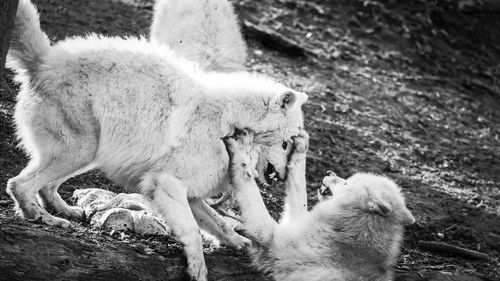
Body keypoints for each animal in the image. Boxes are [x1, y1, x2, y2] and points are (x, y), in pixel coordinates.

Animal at [5, 1, 306, 278]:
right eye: (286, 142)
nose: (283, 176)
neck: (228, 123)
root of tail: (44, 60)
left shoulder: (190, 193)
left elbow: (218, 222)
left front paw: (238, 242)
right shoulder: (167, 183)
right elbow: (193, 230)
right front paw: (198, 268)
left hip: (87, 155)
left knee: (45, 186)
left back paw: (65, 211)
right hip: (81, 151)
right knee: (19, 184)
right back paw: (45, 219)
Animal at [225, 132, 416, 280]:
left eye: (346, 183)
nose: (329, 172)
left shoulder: (272, 237)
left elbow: (248, 184)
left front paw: (239, 147)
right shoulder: (293, 223)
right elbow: (299, 187)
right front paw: (300, 147)